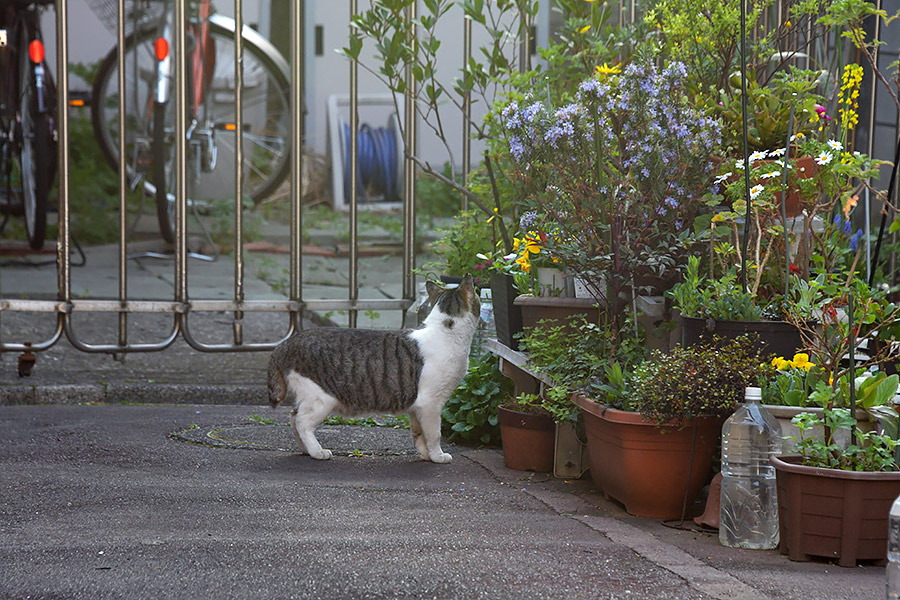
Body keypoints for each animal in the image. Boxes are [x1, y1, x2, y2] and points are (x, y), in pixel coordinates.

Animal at [268, 274, 482, 464]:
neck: (445, 333)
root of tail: (287, 343)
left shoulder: (416, 408)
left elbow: (418, 434)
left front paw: (426, 456)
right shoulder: (430, 403)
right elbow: (434, 434)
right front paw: (438, 456)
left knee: (293, 416)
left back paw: (305, 449)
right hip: (321, 398)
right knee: (302, 422)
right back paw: (317, 451)